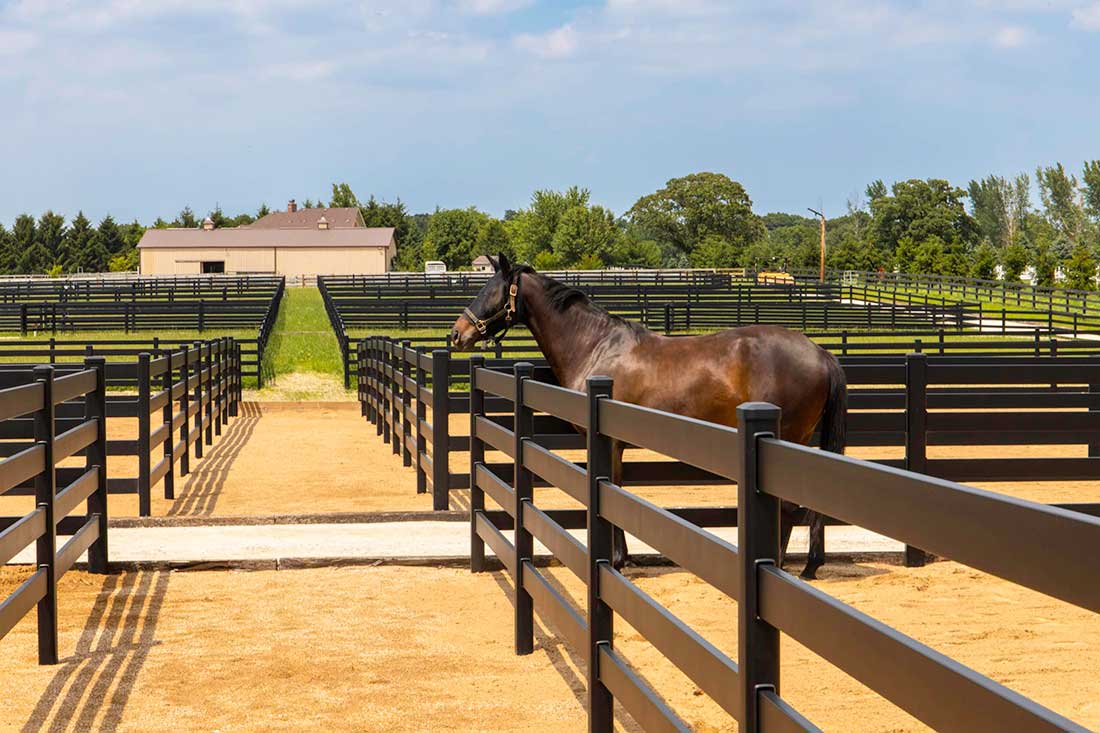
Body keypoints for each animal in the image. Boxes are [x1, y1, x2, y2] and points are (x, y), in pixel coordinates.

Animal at [450, 254, 846, 579]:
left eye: (492, 291)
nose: (457, 334)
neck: (595, 346)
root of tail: (820, 353)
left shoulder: (607, 443)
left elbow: (612, 491)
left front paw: (618, 560)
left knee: (789, 507)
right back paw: (809, 564)